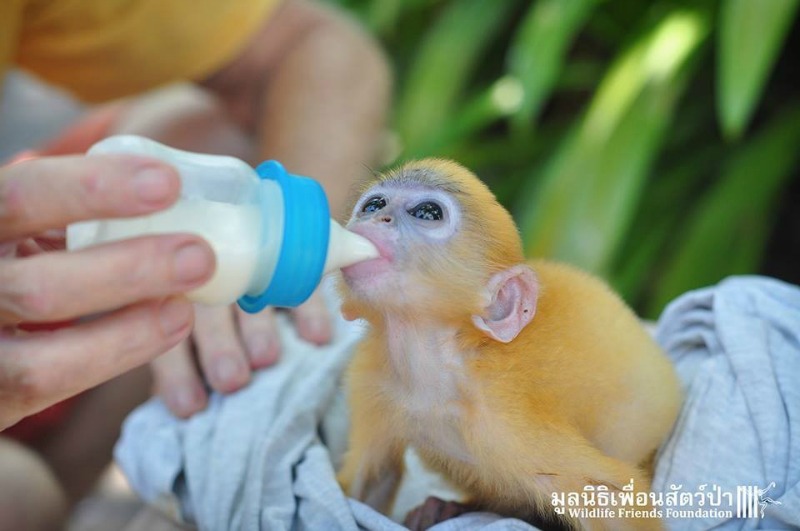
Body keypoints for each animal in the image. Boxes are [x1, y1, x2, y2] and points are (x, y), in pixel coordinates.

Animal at [336, 160, 680, 528]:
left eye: (428, 213)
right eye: (374, 205)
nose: (378, 218)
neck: (438, 370)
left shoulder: (506, 417)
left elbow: (611, 496)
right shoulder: (371, 375)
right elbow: (368, 487)